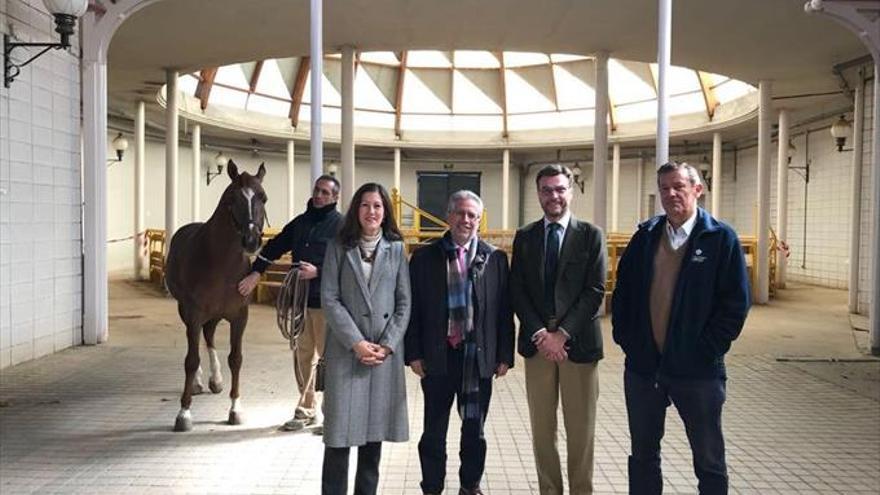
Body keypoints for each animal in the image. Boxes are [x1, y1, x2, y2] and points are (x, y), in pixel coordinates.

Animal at [162, 161, 264, 432]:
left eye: (263, 198)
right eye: (231, 200)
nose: (251, 241)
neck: (220, 262)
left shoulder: (239, 316)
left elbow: (236, 359)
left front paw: (235, 409)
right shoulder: (194, 312)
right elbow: (190, 359)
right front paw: (184, 413)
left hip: (216, 315)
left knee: (208, 336)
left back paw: (216, 380)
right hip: (186, 311)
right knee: (198, 339)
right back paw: (199, 383)